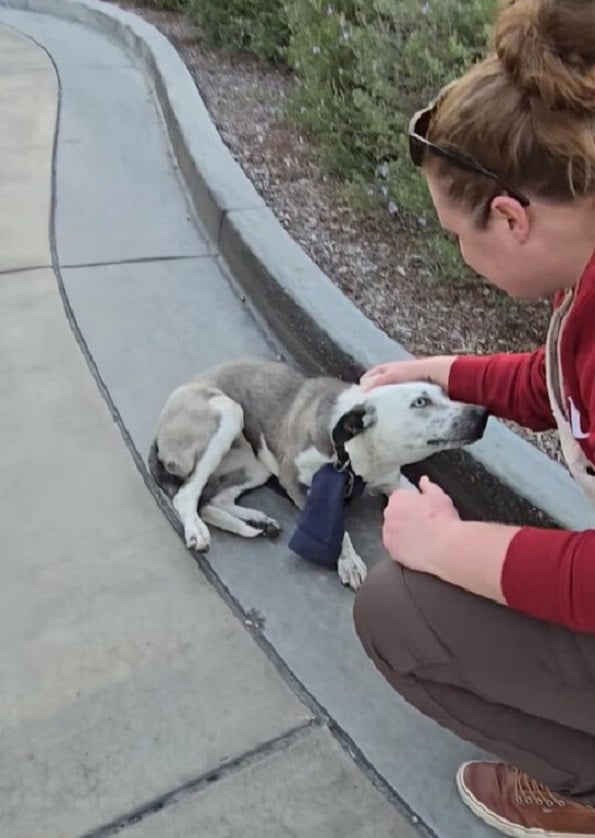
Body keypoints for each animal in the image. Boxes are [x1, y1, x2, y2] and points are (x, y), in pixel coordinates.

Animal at [149, 360, 488, 592]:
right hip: (228, 411)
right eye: (420, 402)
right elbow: (336, 524)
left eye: (445, 394)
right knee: (188, 496)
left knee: (213, 499)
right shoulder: (295, 481)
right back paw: (197, 528)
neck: (354, 452)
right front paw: (348, 560)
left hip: (257, 462)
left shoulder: (394, 480)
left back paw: (257, 520)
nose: (482, 414)